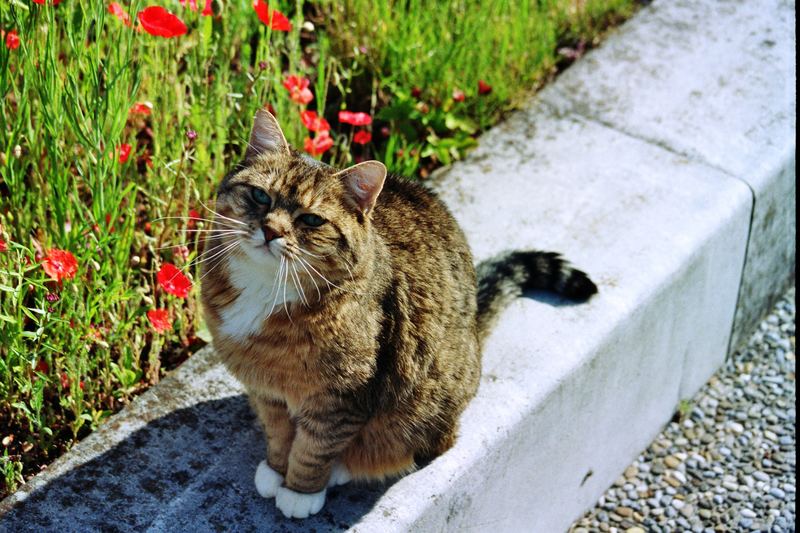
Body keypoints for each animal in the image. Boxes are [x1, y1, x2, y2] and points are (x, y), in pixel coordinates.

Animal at [198, 110, 592, 516]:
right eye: (260, 195)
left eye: (311, 220)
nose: (270, 230)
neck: (268, 287)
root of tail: (474, 335)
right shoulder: (267, 392)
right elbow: (278, 433)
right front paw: (276, 470)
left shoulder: (343, 398)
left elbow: (315, 447)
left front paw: (300, 491)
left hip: (423, 407)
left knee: (421, 445)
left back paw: (345, 468)